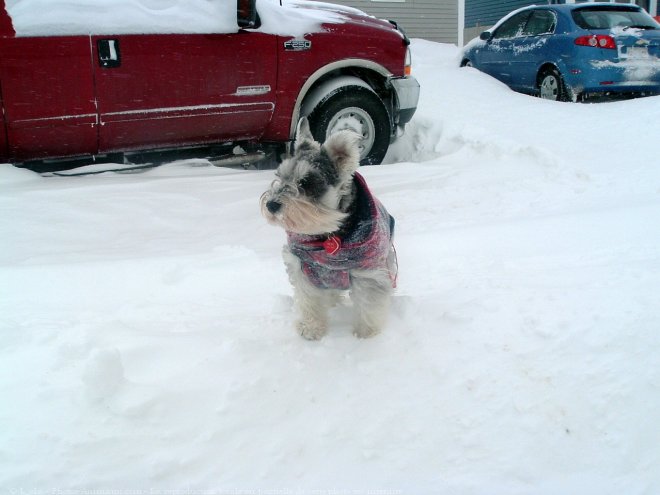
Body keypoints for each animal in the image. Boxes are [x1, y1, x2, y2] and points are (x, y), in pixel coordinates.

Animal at [260, 117, 398, 340]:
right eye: (280, 176)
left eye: (305, 182)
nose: (271, 205)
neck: (327, 233)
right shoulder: (303, 267)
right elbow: (309, 301)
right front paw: (311, 328)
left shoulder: (368, 272)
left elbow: (369, 305)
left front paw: (366, 335)